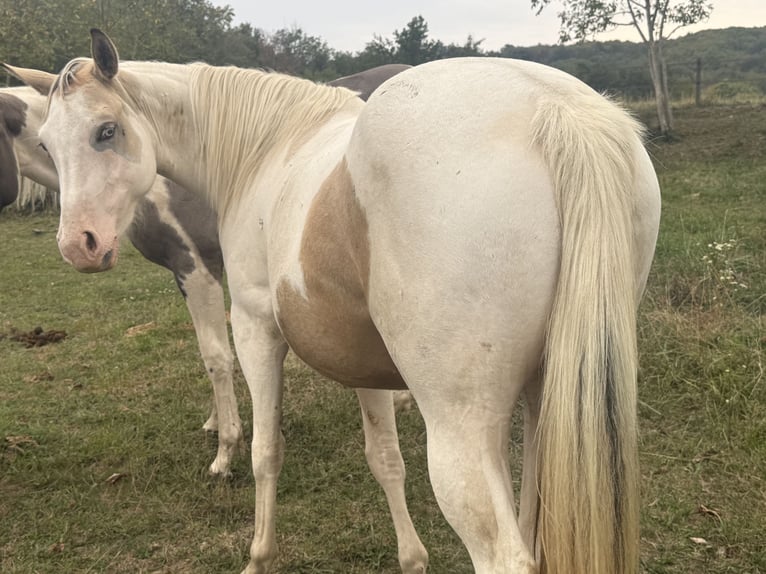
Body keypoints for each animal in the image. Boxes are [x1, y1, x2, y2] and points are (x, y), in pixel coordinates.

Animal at [12, 28, 661, 574]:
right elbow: (385, 459)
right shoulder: (363, 361)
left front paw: (258, 555)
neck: (268, 147)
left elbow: (265, 450)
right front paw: (411, 558)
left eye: (106, 131)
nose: (79, 245)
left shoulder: (255, 328)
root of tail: (554, 111)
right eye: (44, 141)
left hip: (463, 427)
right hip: (547, 407)